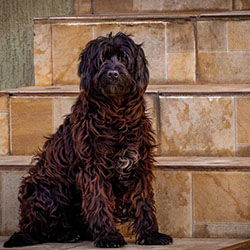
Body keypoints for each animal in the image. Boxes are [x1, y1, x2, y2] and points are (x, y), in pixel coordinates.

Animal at [4, 31, 172, 248]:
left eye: (123, 58)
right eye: (102, 60)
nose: (112, 74)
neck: (116, 112)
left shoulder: (138, 165)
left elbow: (143, 202)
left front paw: (151, 234)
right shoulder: (93, 168)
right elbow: (99, 201)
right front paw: (108, 237)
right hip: (46, 189)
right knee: (47, 229)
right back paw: (67, 234)